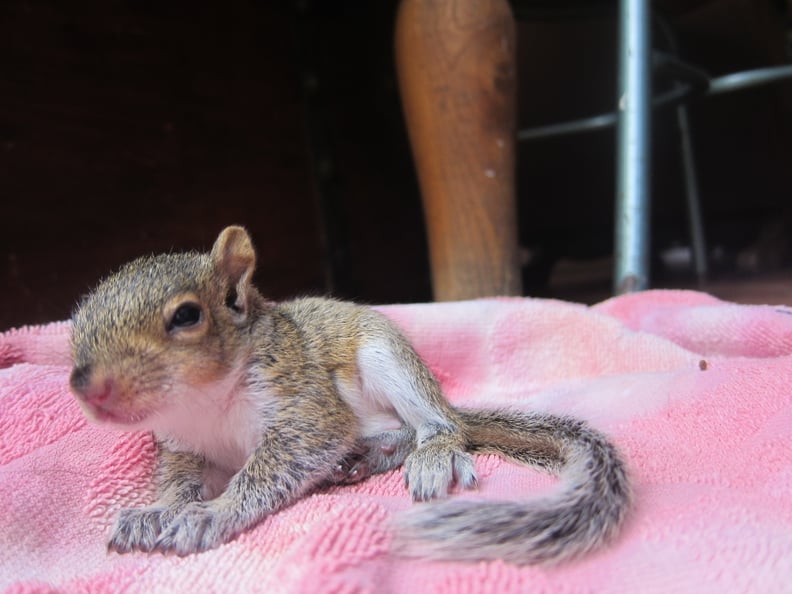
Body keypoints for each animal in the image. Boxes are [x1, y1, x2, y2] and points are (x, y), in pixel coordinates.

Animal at [69, 225, 631, 565]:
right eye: (77, 317)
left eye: (187, 315)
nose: (86, 387)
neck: (201, 402)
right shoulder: (183, 445)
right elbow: (179, 480)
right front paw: (157, 511)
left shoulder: (303, 403)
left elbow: (275, 463)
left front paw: (212, 513)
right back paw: (363, 459)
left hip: (388, 359)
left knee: (440, 428)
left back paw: (424, 456)